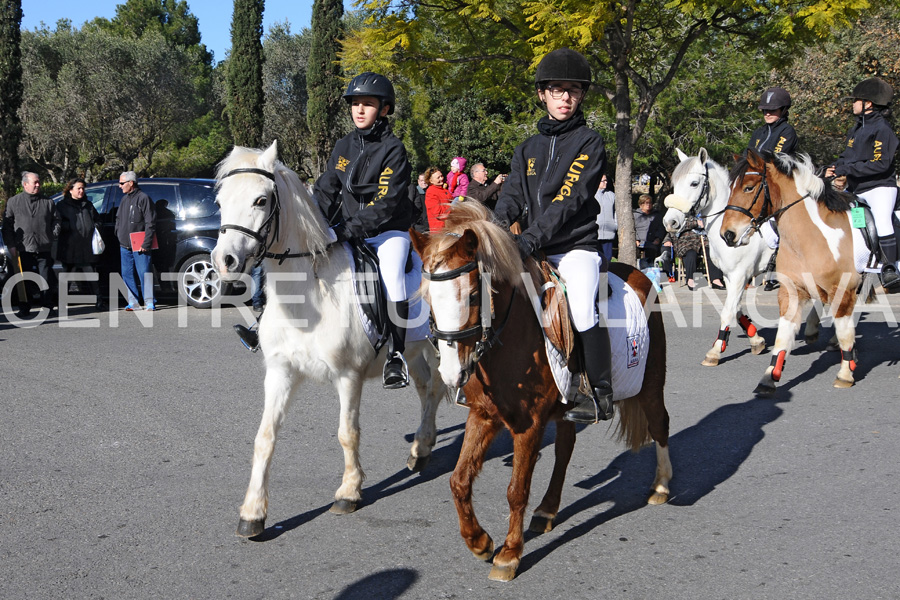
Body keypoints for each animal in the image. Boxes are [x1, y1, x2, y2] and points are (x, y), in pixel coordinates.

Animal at [214, 142, 446, 540]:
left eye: (261, 200)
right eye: (219, 200)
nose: (224, 261)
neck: (309, 294)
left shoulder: (348, 376)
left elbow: (347, 433)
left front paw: (348, 493)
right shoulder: (281, 372)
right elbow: (264, 437)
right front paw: (253, 513)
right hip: (416, 350)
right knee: (428, 389)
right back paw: (421, 450)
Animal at [412, 202, 672, 580]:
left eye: (473, 296)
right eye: (428, 298)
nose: (450, 372)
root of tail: (639, 274)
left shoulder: (529, 424)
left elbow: (516, 490)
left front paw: (509, 554)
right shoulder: (484, 414)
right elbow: (459, 480)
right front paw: (479, 542)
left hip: (650, 383)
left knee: (659, 424)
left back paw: (661, 485)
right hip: (568, 407)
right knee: (565, 448)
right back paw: (547, 509)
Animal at [660, 149, 772, 366]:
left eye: (694, 183)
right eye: (675, 184)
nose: (670, 222)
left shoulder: (739, 275)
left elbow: (728, 310)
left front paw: (715, 350)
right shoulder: (730, 276)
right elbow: (735, 308)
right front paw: (756, 339)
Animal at [720, 150, 860, 394]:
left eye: (748, 187)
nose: (727, 234)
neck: (812, 235)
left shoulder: (842, 291)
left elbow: (845, 333)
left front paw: (845, 373)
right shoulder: (789, 289)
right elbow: (781, 336)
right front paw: (769, 376)